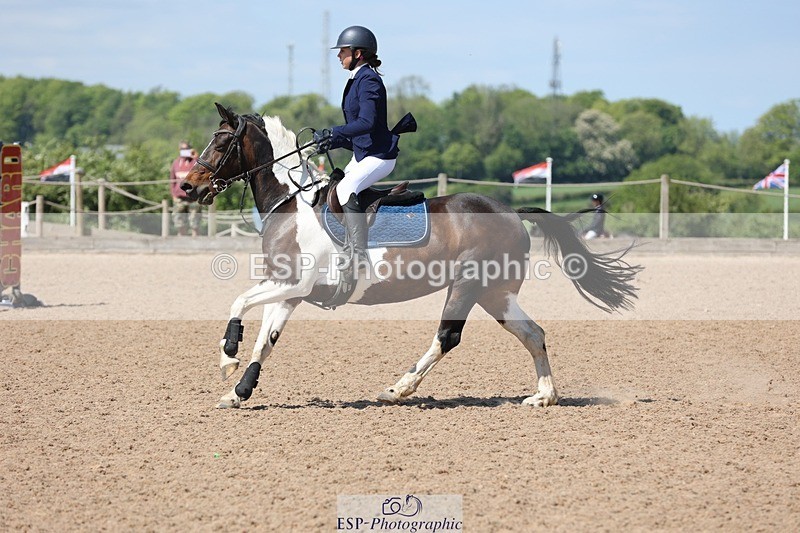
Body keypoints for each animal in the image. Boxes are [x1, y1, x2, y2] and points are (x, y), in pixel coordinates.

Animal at [181, 103, 641, 409]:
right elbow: (267, 340)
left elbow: (239, 302)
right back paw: (544, 396)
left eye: (221, 142)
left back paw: (398, 389)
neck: (293, 203)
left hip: (467, 285)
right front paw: (238, 391)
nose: (188, 187)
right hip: (496, 293)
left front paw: (227, 356)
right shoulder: (290, 290)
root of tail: (511, 211)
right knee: (533, 333)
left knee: (448, 337)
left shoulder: (296, 282)